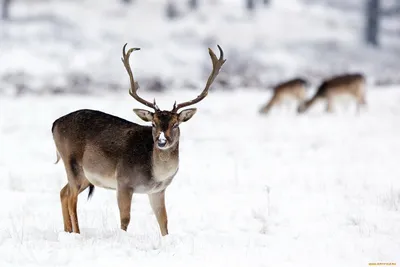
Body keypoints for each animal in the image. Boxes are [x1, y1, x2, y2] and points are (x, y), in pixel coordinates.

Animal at [51, 43, 225, 237]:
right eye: (153, 123)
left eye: (175, 124)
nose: (161, 141)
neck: (156, 173)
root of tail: (55, 123)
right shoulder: (123, 182)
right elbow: (125, 219)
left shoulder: (158, 190)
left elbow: (164, 221)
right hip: (72, 163)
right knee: (72, 198)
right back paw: (77, 233)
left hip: (86, 176)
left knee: (63, 192)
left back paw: (67, 231)